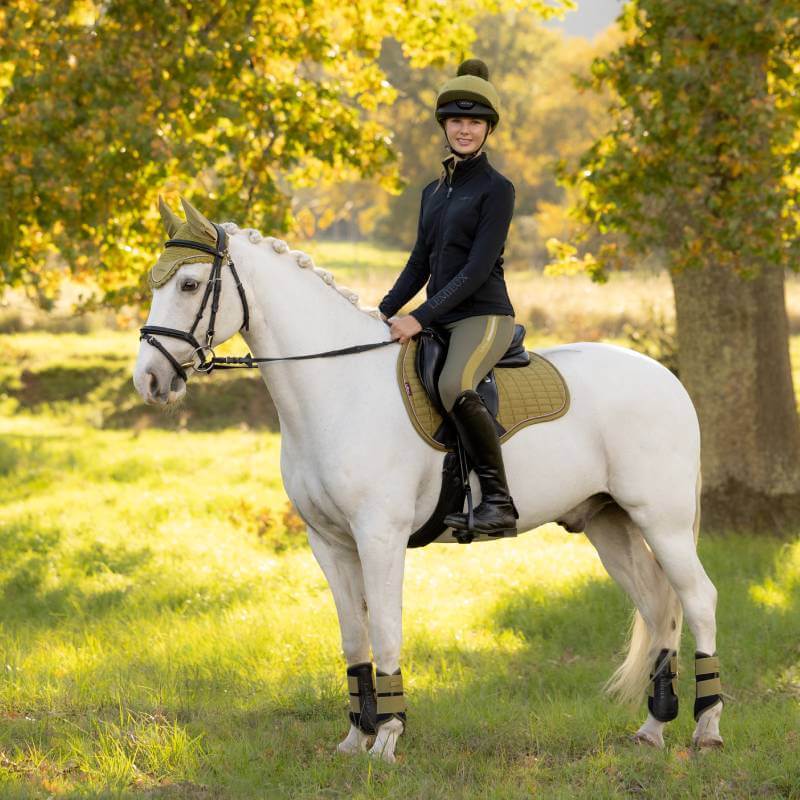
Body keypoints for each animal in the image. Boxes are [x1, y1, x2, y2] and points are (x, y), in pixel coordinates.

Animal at [133, 198, 723, 762]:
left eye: (189, 285)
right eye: (155, 284)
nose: (150, 380)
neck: (339, 385)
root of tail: (667, 379)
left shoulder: (380, 537)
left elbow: (386, 631)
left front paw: (388, 738)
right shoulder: (329, 542)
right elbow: (354, 639)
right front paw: (355, 738)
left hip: (662, 521)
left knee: (697, 599)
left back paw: (707, 729)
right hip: (607, 522)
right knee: (658, 607)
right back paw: (653, 729)